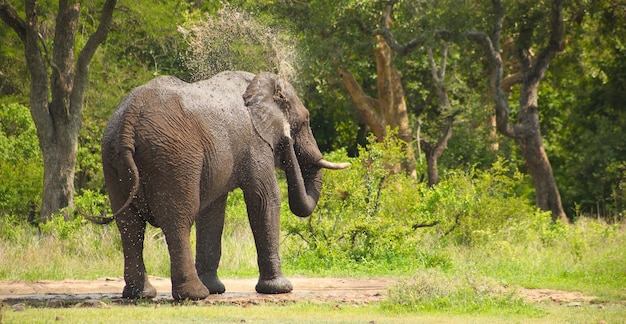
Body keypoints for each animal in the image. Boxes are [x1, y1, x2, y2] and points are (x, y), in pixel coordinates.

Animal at [99, 71, 348, 302]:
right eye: (305, 122)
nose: (287, 140)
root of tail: (130, 117)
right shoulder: (255, 142)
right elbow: (265, 199)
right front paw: (280, 289)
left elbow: (213, 211)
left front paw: (216, 290)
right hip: (173, 157)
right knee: (177, 220)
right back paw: (194, 295)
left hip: (114, 156)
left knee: (130, 225)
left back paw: (140, 295)